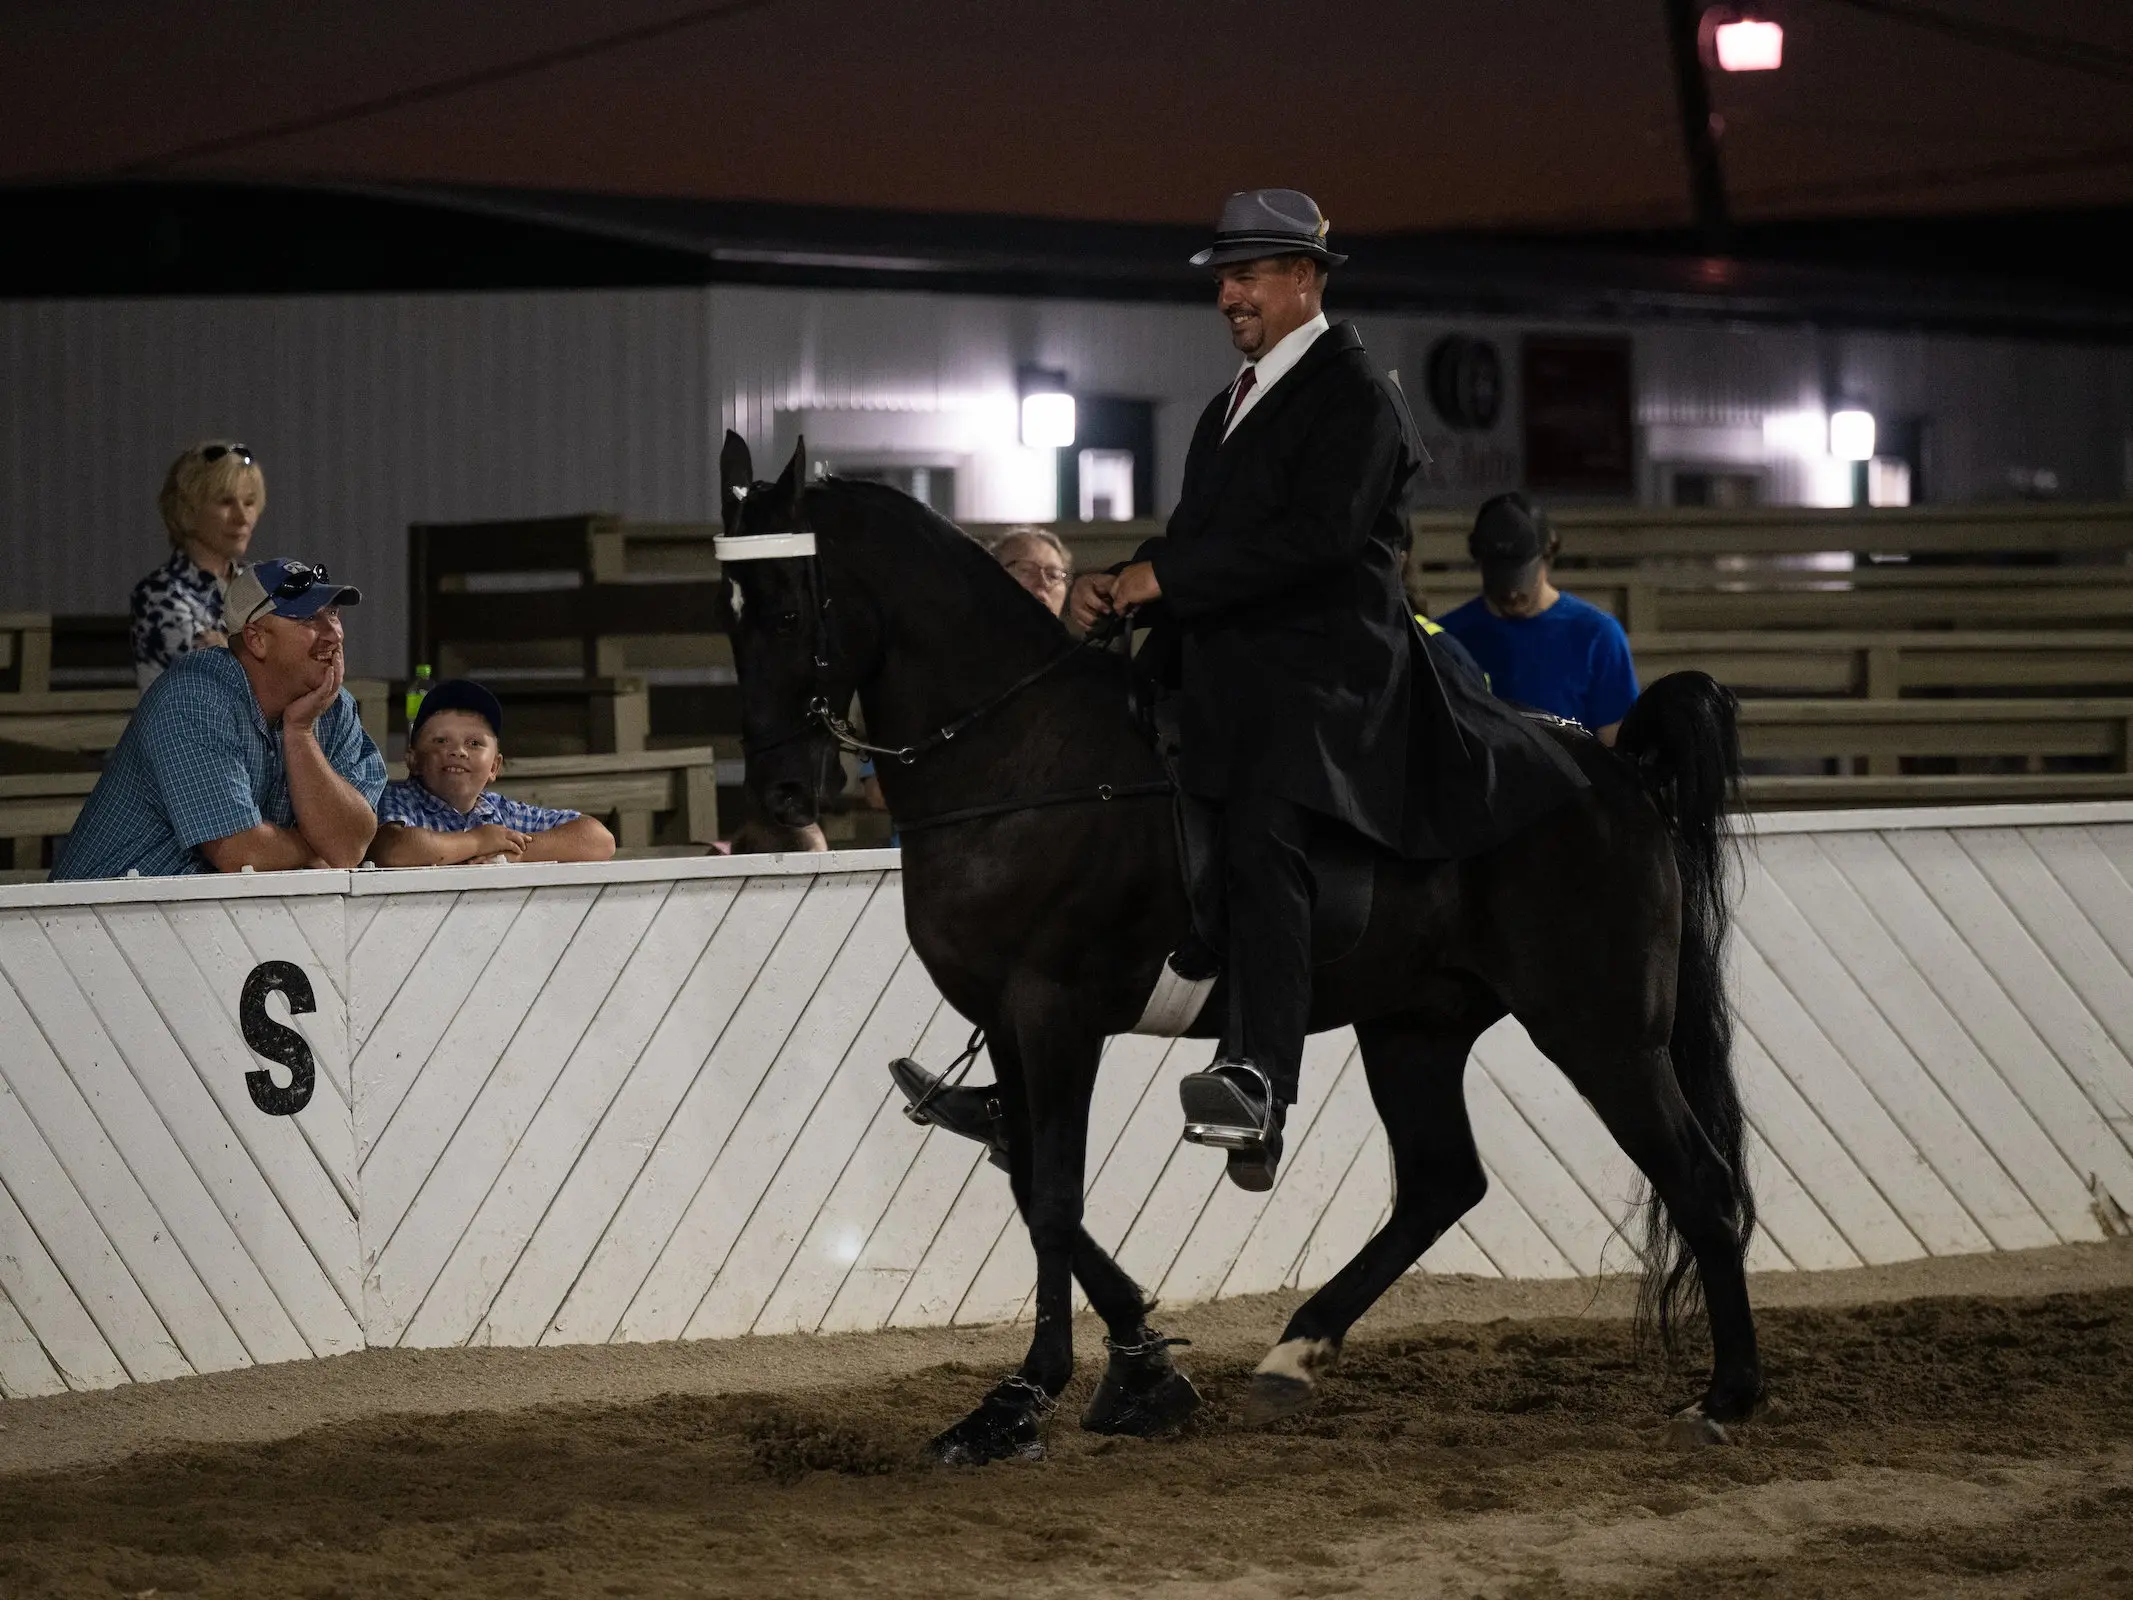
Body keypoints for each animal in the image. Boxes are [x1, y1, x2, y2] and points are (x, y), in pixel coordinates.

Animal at [725, 439, 1757, 1467]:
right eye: (724, 613)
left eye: (785, 609)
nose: (779, 795)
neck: (1021, 759)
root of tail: (1617, 768)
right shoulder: (1010, 1024)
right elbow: (1025, 1178)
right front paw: (1141, 1372)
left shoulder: (1054, 1014)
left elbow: (1052, 1197)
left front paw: (1022, 1399)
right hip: (1414, 1027)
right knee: (1440, 1182)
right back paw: (1297, 1350)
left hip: (1601, 1032)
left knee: (1700, 1183)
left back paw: (1727, 1396)